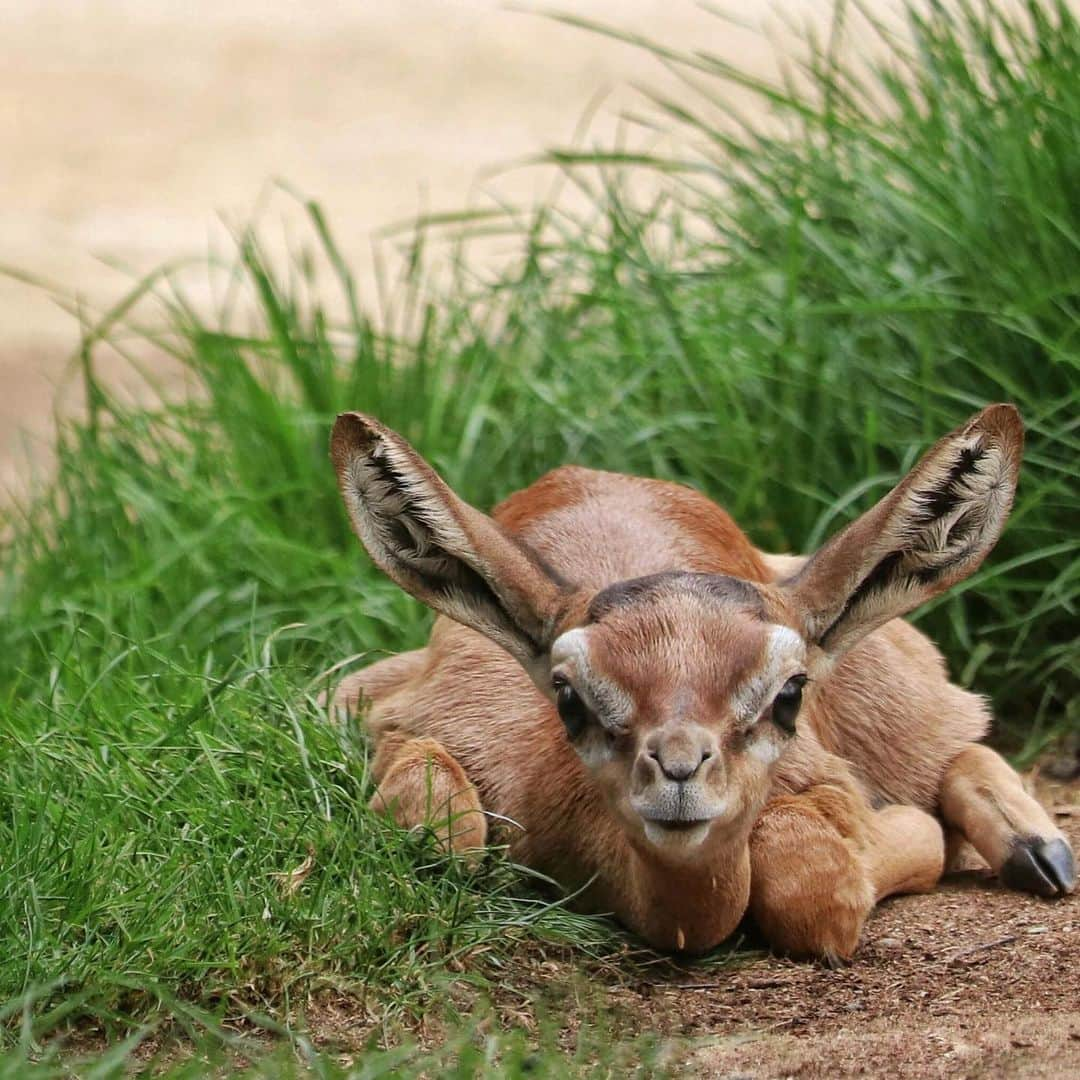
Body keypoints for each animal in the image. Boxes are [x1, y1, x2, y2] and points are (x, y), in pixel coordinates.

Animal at [326, 406, 1071, 963]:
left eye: (790, 691)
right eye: (567, 694)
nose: (679, 770)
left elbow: (815, 881)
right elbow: (443, 828)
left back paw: (1041, 852)